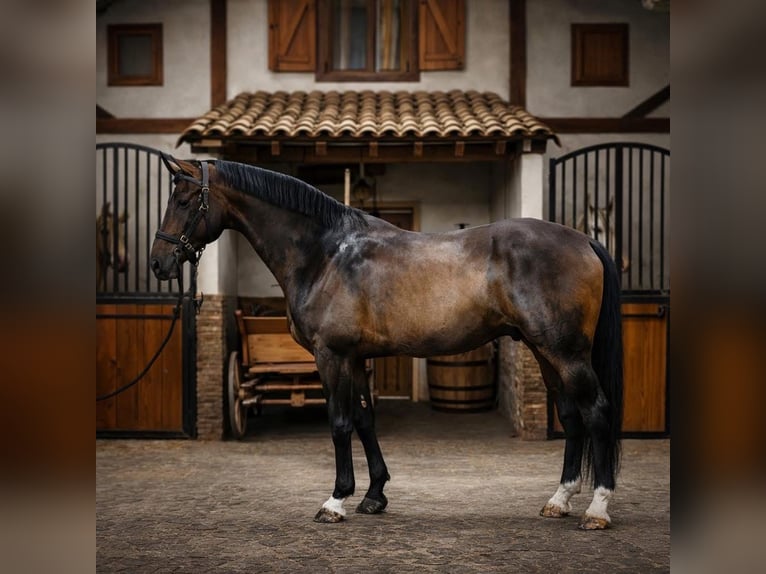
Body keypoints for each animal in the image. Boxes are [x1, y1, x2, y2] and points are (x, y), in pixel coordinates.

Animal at [150, 156, 624, 530]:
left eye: (184, 201)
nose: (158, 263)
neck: (324, 254)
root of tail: (585, 239)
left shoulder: (332, 356)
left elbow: (340, 424)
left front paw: (335, 500)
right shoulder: (356, 358)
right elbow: (364, 421)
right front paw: (374, 494)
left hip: (566, 353)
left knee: (597, 411)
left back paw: (597, 510)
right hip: (545, 352)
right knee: (572, 416)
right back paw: (559, 500)